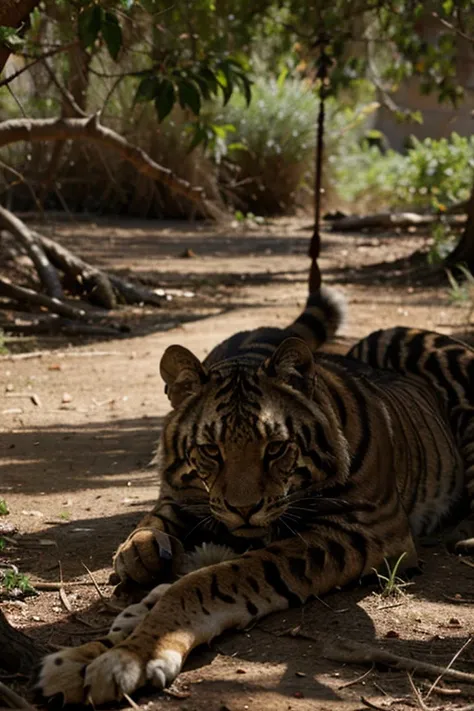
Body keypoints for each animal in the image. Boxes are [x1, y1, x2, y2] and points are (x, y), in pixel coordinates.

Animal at [38, 294, 474, 708]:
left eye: (276, 448)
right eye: (211, 450)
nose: (243, 509)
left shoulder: (363, 528)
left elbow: (213, 581)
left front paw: (127, 657)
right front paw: (84, 656)